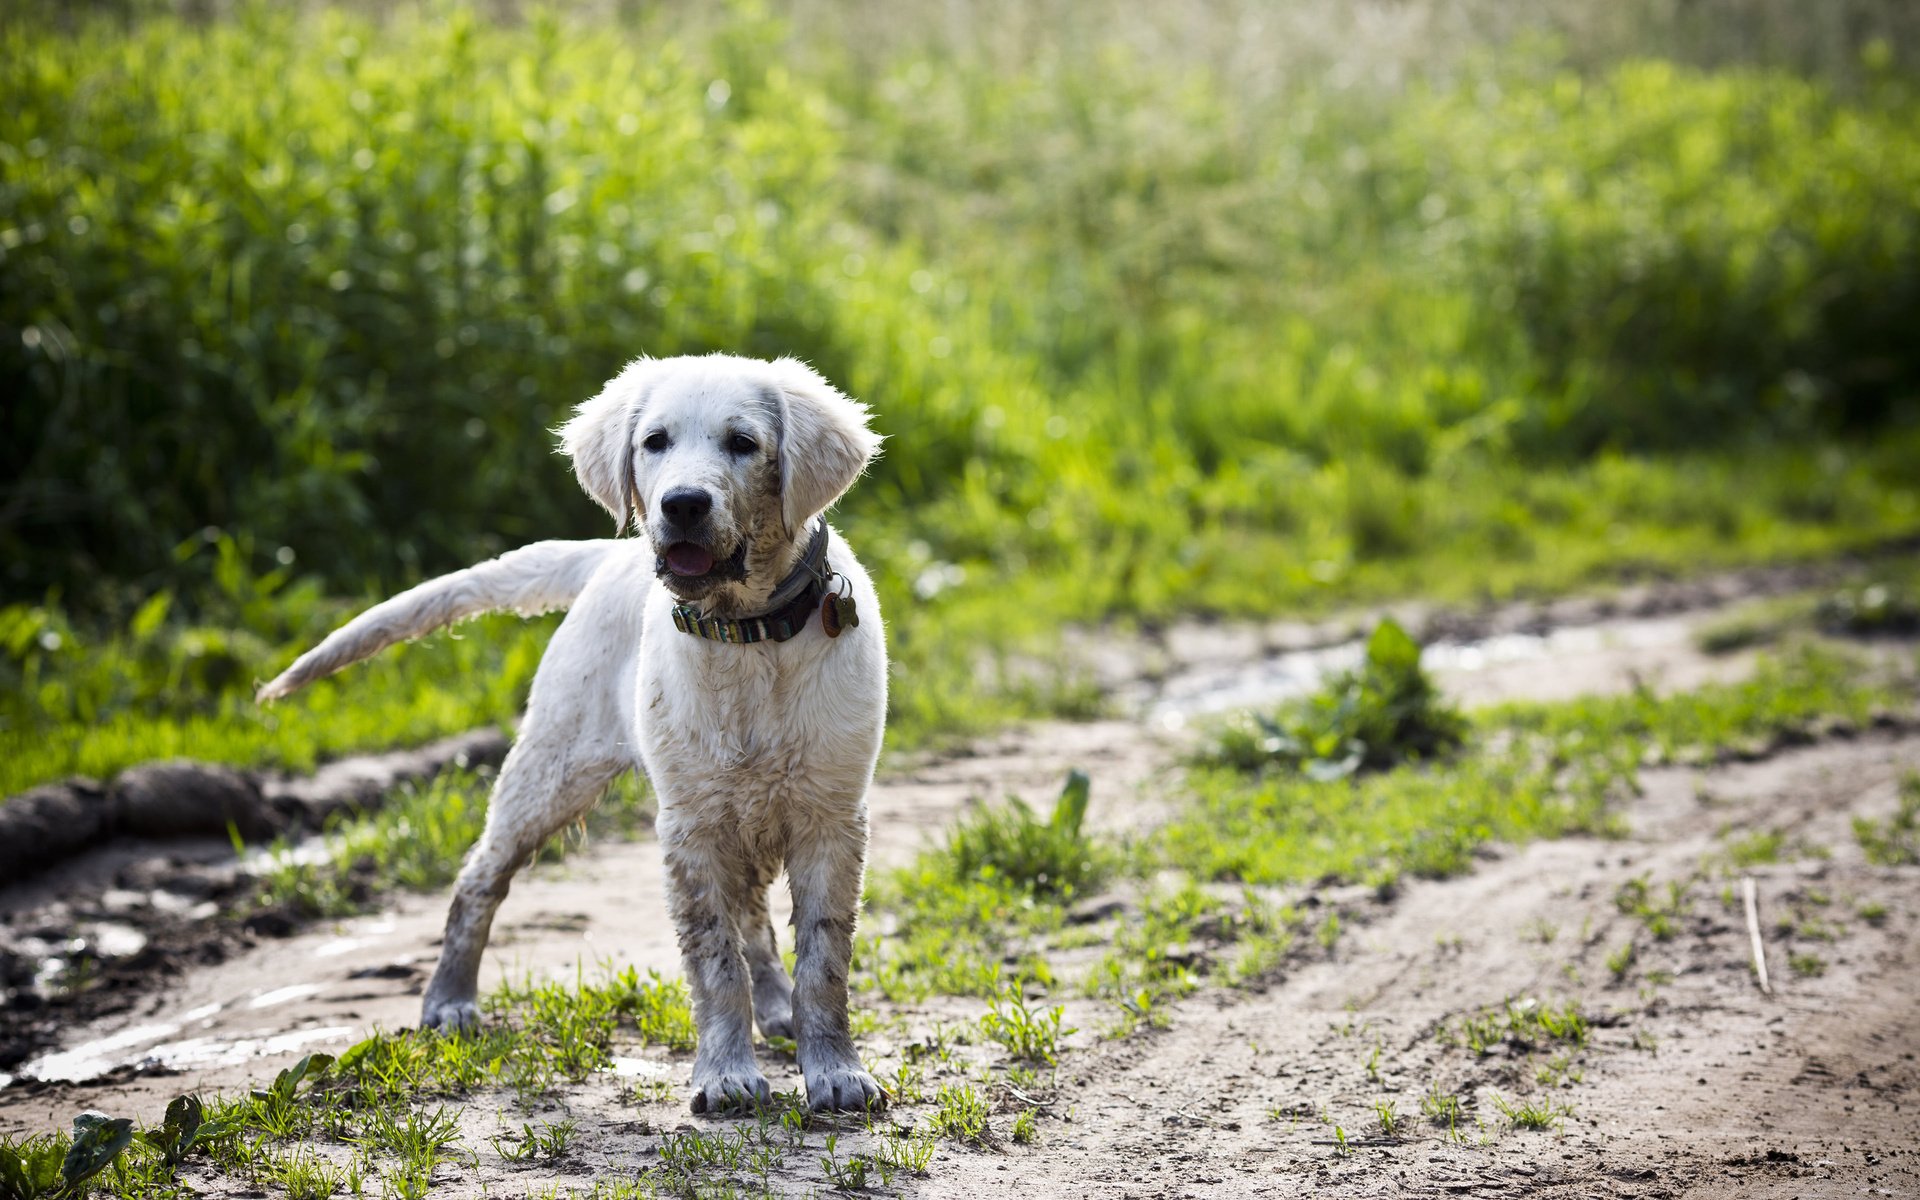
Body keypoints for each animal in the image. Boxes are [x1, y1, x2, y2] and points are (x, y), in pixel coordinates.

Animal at [259, 353, 887, 1113]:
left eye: (743, 443)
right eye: (655, 442)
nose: (682, 505)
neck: (748, 634)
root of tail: (607, 560)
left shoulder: (831, 817)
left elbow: (823, 960)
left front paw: (834, 1071)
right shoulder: (687, 826)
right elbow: (712, 962)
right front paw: (725, 1074)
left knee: (752, 917)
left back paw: (775, 1009)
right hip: (552, 770)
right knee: (478, 879)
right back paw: (448, 1001)